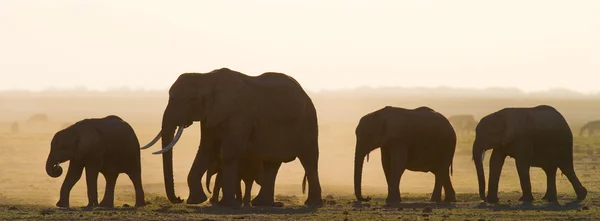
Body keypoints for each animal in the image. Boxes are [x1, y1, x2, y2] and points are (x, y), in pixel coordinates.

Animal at [141, 68, 324, 207]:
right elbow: (206, 150)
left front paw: (227, 205)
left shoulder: (239, 115)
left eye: (183, 100)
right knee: (272, 163)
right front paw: (195, 201)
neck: (206, 78)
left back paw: (311, 204)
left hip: (308, 122)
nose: (179, 199)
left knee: (309, 160)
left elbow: (228, 153)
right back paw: (261, 203)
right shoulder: (210, 115)